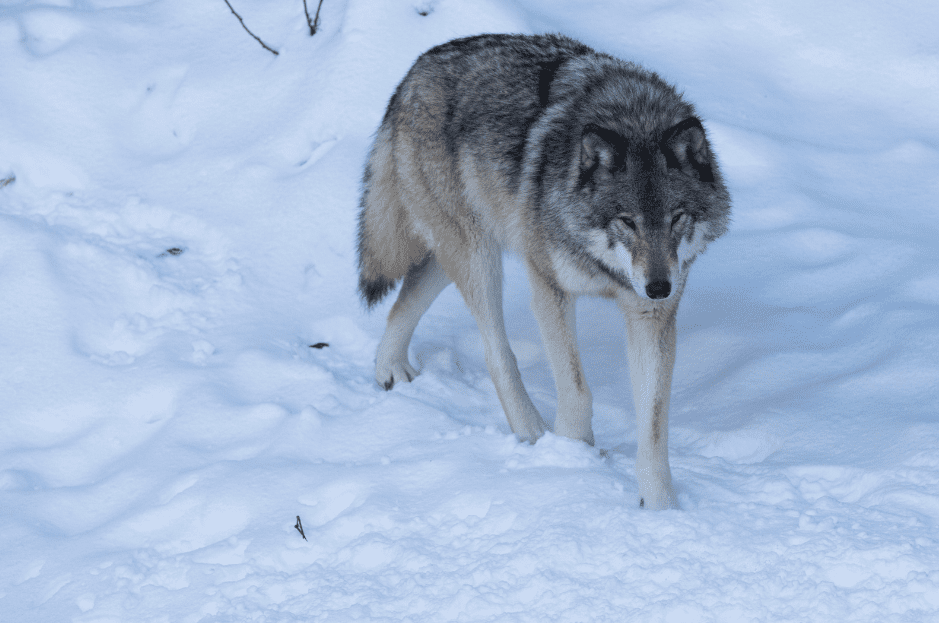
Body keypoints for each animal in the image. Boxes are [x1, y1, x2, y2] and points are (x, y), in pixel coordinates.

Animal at [356, 34, 731, 510]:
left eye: (676, 218)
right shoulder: (550, 289)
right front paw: (573, 454)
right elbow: (576, 387)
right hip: (479, 257)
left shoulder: (649, 316)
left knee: (406, 297)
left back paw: (389, 369)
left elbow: (653, 422)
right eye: (627, 222)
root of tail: (416, 69)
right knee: (496, 353)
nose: (659, 286)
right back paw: (532, 433)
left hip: (456, 250)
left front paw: (660, 505)